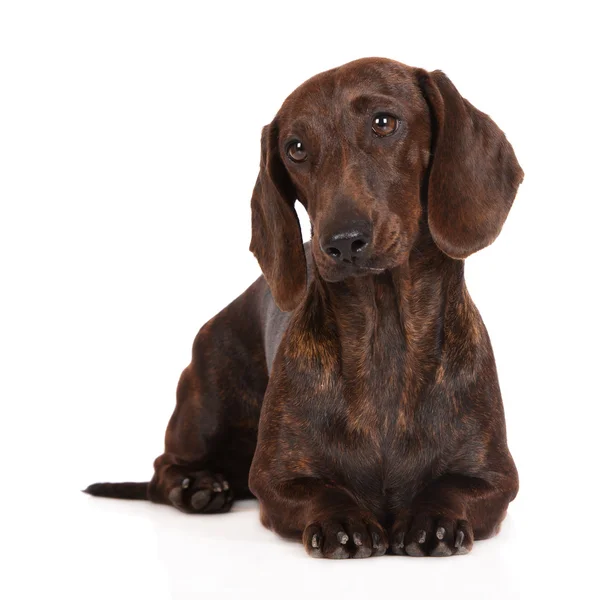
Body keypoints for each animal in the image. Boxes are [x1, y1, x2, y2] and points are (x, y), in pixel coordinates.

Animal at [86, 56, 524, 556]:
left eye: (384, 123)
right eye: (295, 148)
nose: (343, 241)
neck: (385, 338)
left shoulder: (497, 480)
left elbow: (451, 487)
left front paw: (432, 517)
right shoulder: (273, 481)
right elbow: (320, 490)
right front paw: (344, 519)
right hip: (206, 409)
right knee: (164, 468)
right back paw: (197, 486)